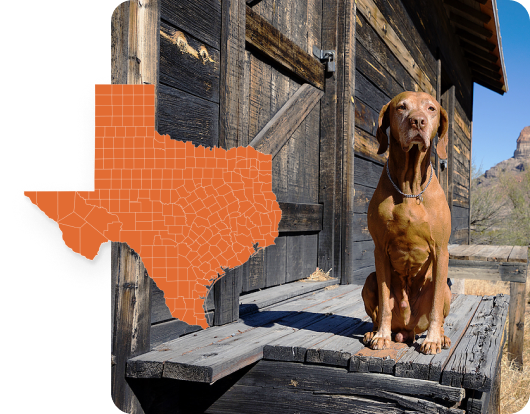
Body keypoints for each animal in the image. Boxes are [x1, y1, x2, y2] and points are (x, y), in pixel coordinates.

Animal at [360, 91, 452, 356]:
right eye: (401, 107)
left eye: (431, 108)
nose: (417, 121)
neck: (410, 187)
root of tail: (407, 331)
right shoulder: (380, 251)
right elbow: (383, 299)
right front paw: (381, 336)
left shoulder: (441, 250)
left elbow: (435, 306)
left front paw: (432, 339)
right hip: (369, 281)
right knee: (377, 309)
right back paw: (374, 332)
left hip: (446, 289)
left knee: (440, 307)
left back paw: (441, 336)